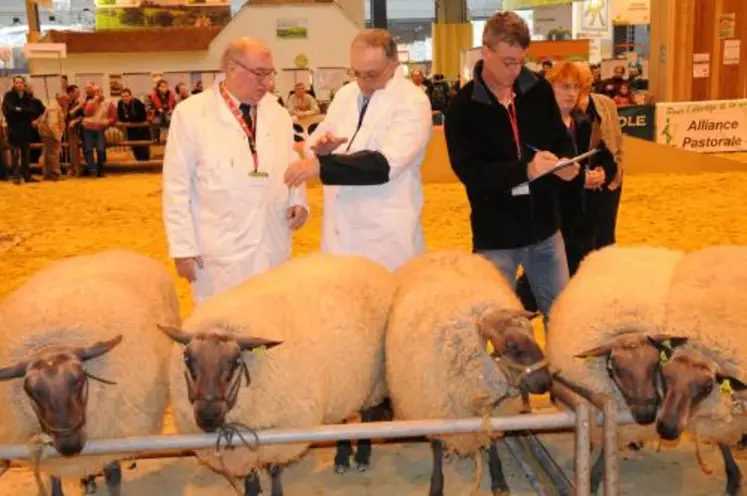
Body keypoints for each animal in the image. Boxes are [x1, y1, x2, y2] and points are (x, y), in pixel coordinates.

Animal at [0, 250, 178, 494]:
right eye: (30, 392)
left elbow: (113, 478)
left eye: (79, 380)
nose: (69, 445)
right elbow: (55, 485)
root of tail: (116, 251)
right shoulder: (53, 459)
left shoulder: (109, 437)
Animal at [162, 254, 398, 494]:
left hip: (373, 382)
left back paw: (361, 456)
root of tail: (362, 259)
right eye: (187, 359)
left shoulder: (282, 434)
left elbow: (275, 470)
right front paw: (252, 490)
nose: (207, 415)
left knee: (366, 417)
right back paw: (342, 457)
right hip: (343, 381)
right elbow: (251, 474)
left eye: (235, 361)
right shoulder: (246, 449)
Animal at [386, 252, 548, 496]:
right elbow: (436, 446)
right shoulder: (435, 408)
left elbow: (491, 441)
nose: (546, 382)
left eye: (532, 334)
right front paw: (436, 486)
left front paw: (498, 479)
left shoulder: (493, 411)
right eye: (511, 345)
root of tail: (442, 253)